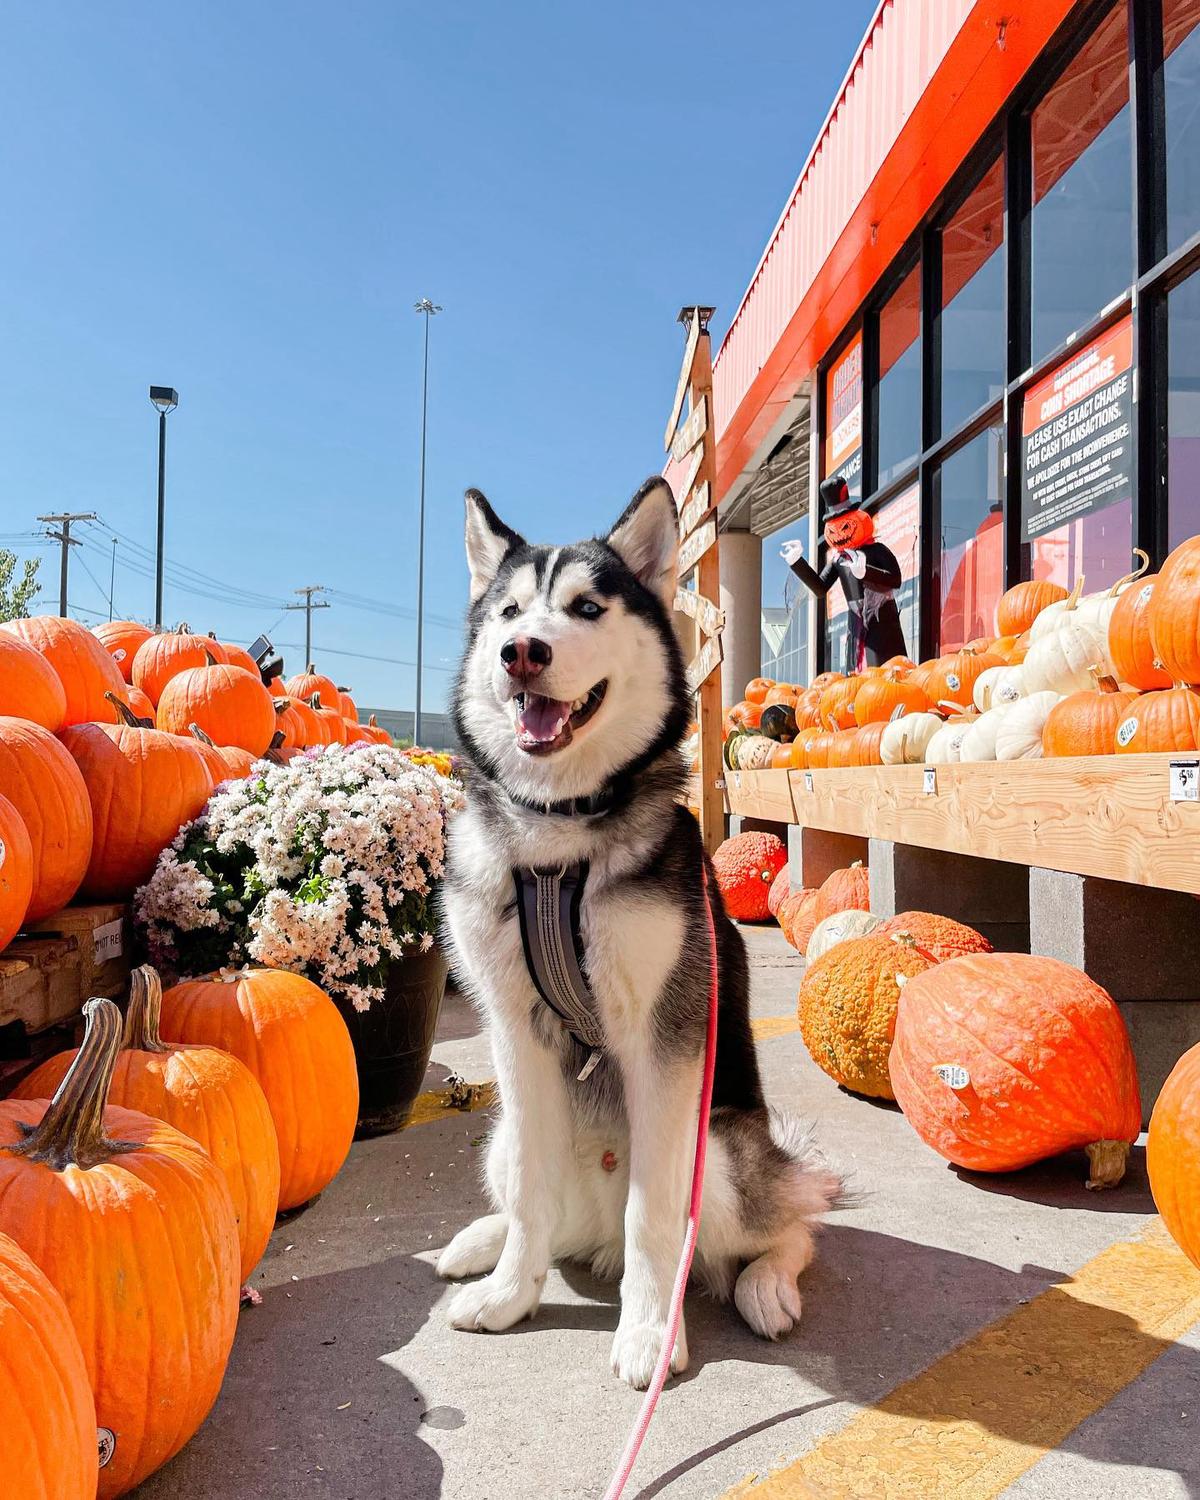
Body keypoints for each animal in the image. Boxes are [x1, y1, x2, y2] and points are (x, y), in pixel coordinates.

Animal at [435, 480, 840, 1392]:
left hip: (720, 1153)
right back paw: (482, 1243)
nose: (520, 652)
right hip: (501, 1132)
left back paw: (766, 1286)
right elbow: (532, 1194)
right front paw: (512, 1293)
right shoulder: (514, 1033)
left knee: (792, 1221)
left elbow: (655, 1217)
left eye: (587, 608)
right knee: (534, 1200)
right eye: (509, 610)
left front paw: (653, 1333)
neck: (558, 836)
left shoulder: (667, 1042)